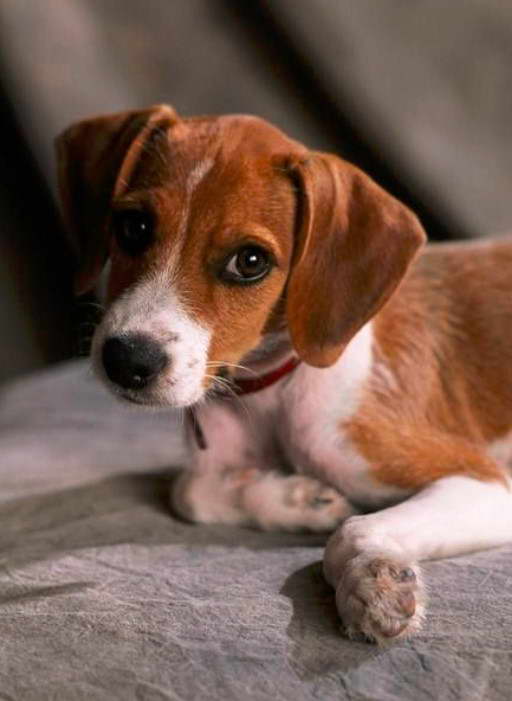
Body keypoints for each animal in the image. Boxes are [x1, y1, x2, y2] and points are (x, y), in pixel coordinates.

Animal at [57, 101, 512, 644]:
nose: (128, 360)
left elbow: (352, 529)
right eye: (133, 226)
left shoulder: (486, 483)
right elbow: (188, 490)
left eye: (250, 261)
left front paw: (373, 580)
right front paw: (297, 498)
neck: (268, 394)